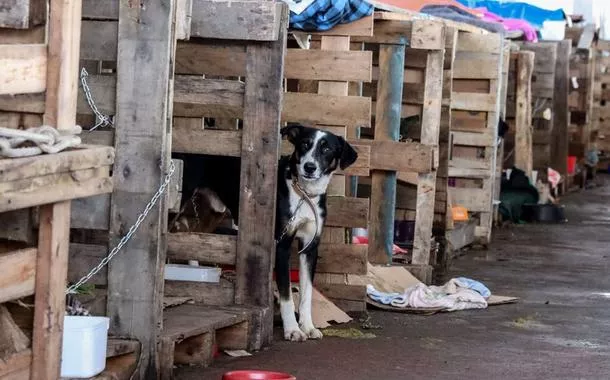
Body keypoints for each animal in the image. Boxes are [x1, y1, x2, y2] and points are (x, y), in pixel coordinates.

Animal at [276, 124, 356, 342]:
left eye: (327, 149)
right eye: (304, 144)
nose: (310, 167)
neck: (304, 194)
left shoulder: (309, 247)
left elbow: (307, 294)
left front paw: (308, 326)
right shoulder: (281, 245)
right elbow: (286, 295)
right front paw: (292, 329)